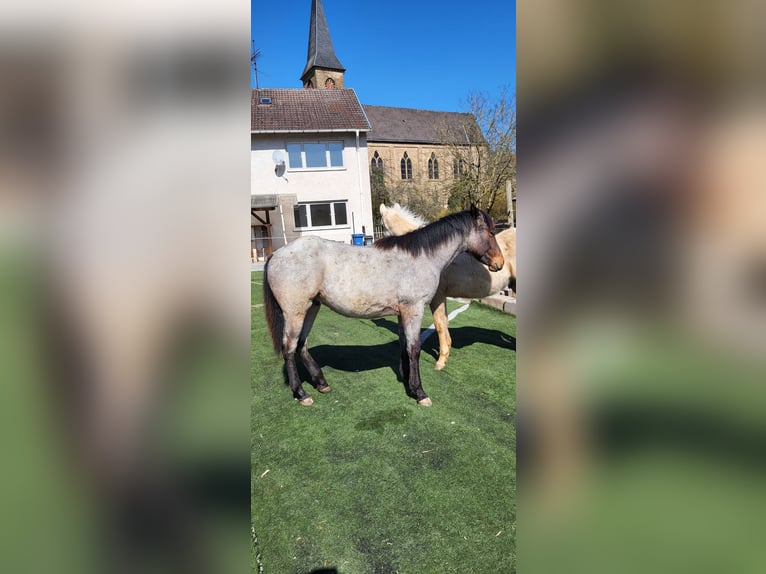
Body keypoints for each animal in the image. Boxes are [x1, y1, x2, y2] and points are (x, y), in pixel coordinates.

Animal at [263, 206, 504, 406]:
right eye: (490, 232)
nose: (500, 263)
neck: (421, 258)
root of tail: (275, 255)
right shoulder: (414, 309)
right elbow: (414, 349)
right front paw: (419, 392)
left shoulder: (402, 312)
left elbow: (404, 345)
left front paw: (407, 381)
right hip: (295, 312)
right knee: (289, 348)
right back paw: (302, 393)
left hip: (312, 307)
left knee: (301, 345)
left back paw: (321, 383)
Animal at [379, 202, 517, 370]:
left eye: (381, 225)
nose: (499, 263)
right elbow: (444, 323)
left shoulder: (437, 297)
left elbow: (439, 324)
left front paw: (440, 361)